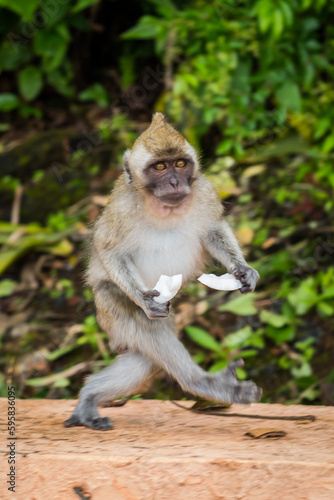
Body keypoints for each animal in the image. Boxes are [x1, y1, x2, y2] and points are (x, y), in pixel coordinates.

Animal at [64, 113, 260, 430]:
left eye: (180, 164)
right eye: (159, 167)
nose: (174, 181)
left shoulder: (204, 192)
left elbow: (213, 229)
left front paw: (242, 269)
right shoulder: (121, 209)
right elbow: (109, 251)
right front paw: (144, 299)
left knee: (144, 360)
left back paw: (89, 396)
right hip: (108, 309)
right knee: (145, 325)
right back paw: (199, 382)